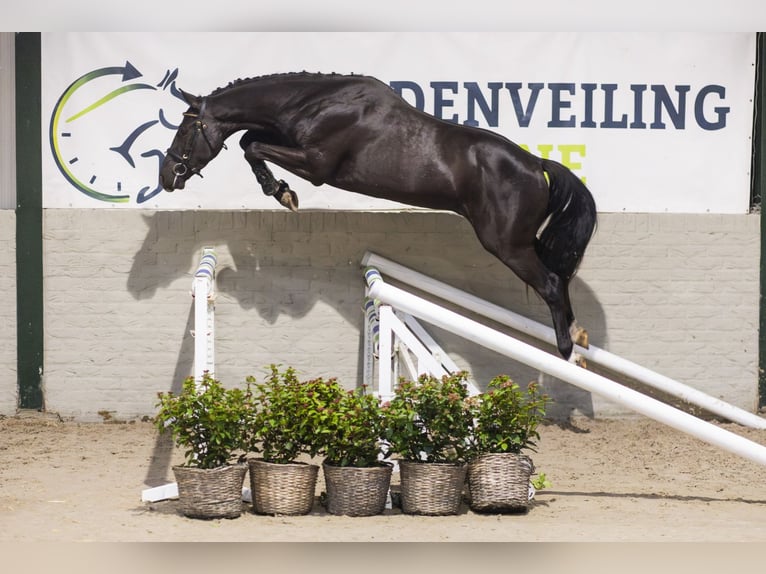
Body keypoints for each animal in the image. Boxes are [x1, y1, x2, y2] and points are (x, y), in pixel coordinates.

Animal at [159, 72, 597, 361]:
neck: (313, 103)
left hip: (505, 244)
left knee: (552, 283)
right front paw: (280, 191)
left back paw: (567, 351)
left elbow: (252, 146)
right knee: (558, 275)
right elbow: (251, 140)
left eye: (185, 131)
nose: (166, 176)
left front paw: (283, 194)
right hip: (522, 240)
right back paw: (579, 337)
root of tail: (537, 165)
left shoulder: (316, 165)